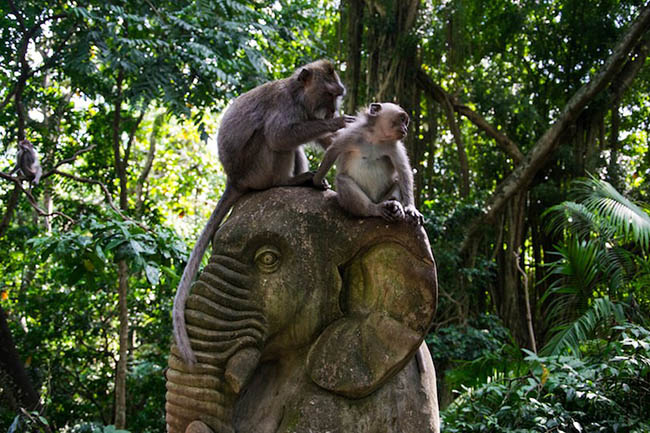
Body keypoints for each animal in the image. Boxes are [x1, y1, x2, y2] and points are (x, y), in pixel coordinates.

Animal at [173, 59, 354, 364]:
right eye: (330, 94)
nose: (333, 111)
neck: (297, 95)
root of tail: (234, 179)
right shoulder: (286, 107)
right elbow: (280, 135)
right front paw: (338, 123)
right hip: (256, 168)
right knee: (271, 139)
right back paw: (287, 181)